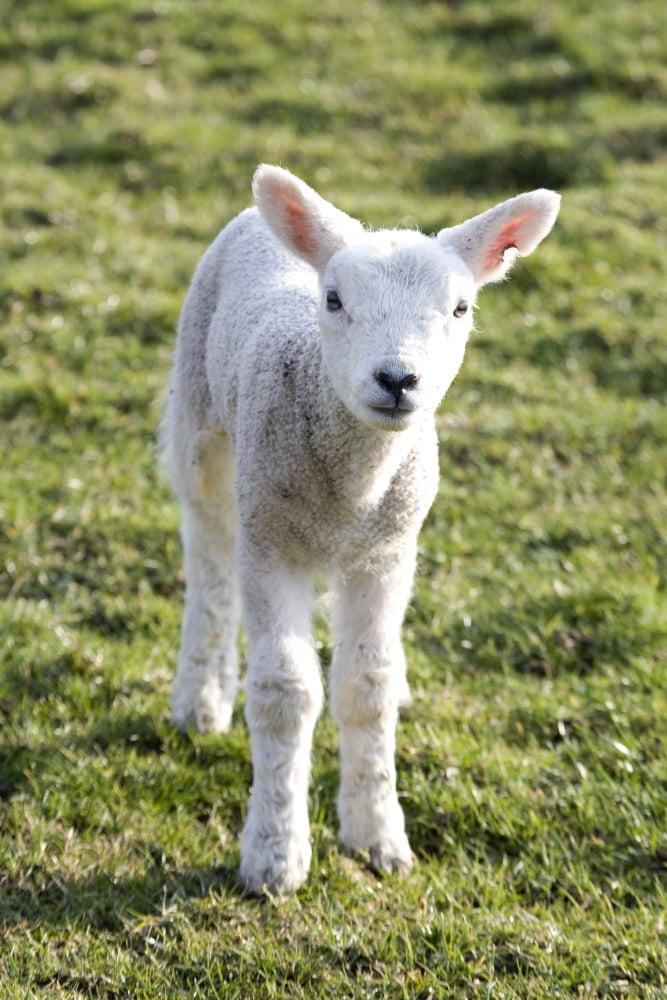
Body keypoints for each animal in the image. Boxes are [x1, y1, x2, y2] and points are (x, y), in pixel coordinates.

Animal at [161, 165, 560, 895]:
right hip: (201, 427)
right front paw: (274, 856)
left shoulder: (386, 552)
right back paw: (201, 697)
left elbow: (365, 687)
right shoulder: (270, 543)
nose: (397, 378)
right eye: (334, 299)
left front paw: (377, 837)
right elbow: (286, 692)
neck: (349, 491)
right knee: (208, 560)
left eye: (461, 309)